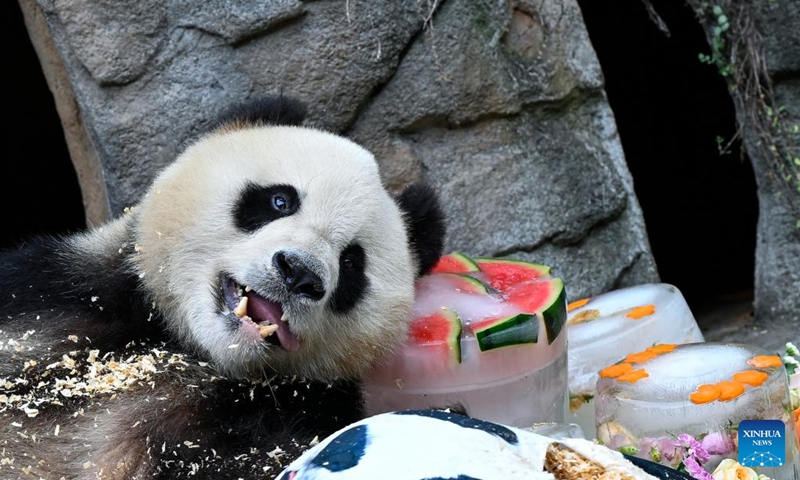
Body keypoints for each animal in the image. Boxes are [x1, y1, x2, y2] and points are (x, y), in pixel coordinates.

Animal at [0, 96, 446, 479]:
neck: (190, 350)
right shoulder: (57, 295)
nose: (299, 273)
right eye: (280, 201)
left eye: (352, 263)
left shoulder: (292, 414)